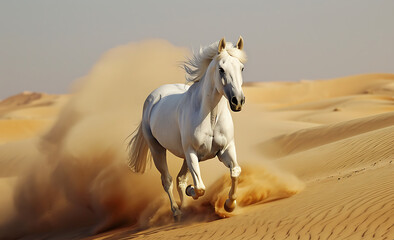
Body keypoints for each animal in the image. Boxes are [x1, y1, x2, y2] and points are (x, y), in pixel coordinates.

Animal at [127, 37, 246, 219]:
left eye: (241, 68)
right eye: (221, 69)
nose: (237, 101)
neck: (210, 116)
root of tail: (152, 99)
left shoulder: (225, 149)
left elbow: (235, 171)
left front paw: (229, 205)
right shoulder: (192, 152)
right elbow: (200, 188)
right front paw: (193, 191)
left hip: (184, 156)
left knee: (180, 179)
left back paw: (184, 208)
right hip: (158, 150)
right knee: (168, 180)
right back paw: (177, 212)